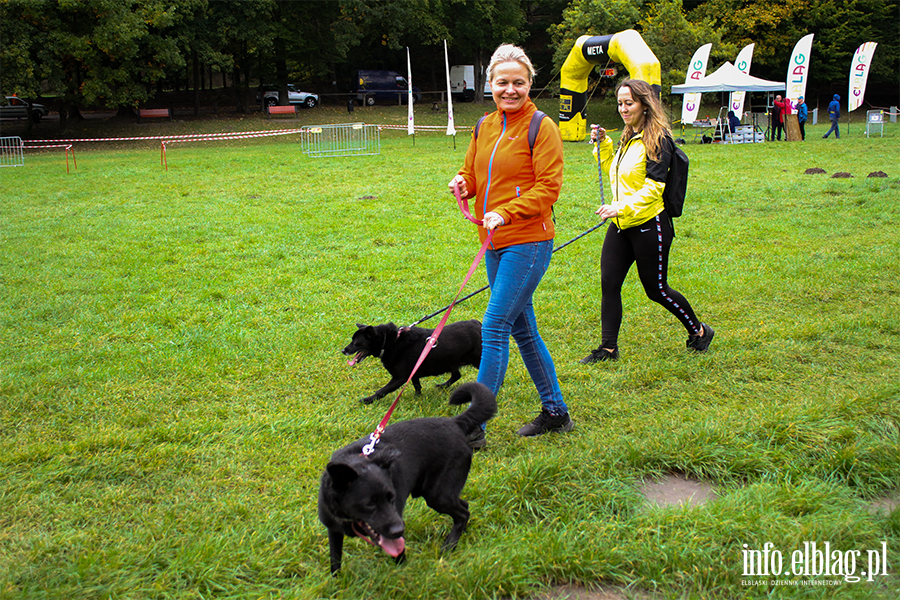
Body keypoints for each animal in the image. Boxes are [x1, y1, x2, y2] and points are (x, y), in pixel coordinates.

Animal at [318, 382, 500, 576]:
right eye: (369, 503)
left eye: (392, 498)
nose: (400, 529)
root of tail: (454, 422)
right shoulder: (334, 530)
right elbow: (335, 560)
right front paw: (336, 580)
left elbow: (398, 554)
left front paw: (400, 571)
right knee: (464, 507)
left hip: (437, 495)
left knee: (463, 512)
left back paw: (450, 544)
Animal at [342, 322, 482, 406]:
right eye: (352, 340)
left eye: (356, 343)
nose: (343, 350)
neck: (391, 342)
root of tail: (478, 324)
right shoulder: (413, 372)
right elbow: (417, 385)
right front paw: (417, 398)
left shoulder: (399, 378)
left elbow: (382, 391)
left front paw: (367, 400)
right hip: (450, 362)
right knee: (457, 375)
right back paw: (442, 386)